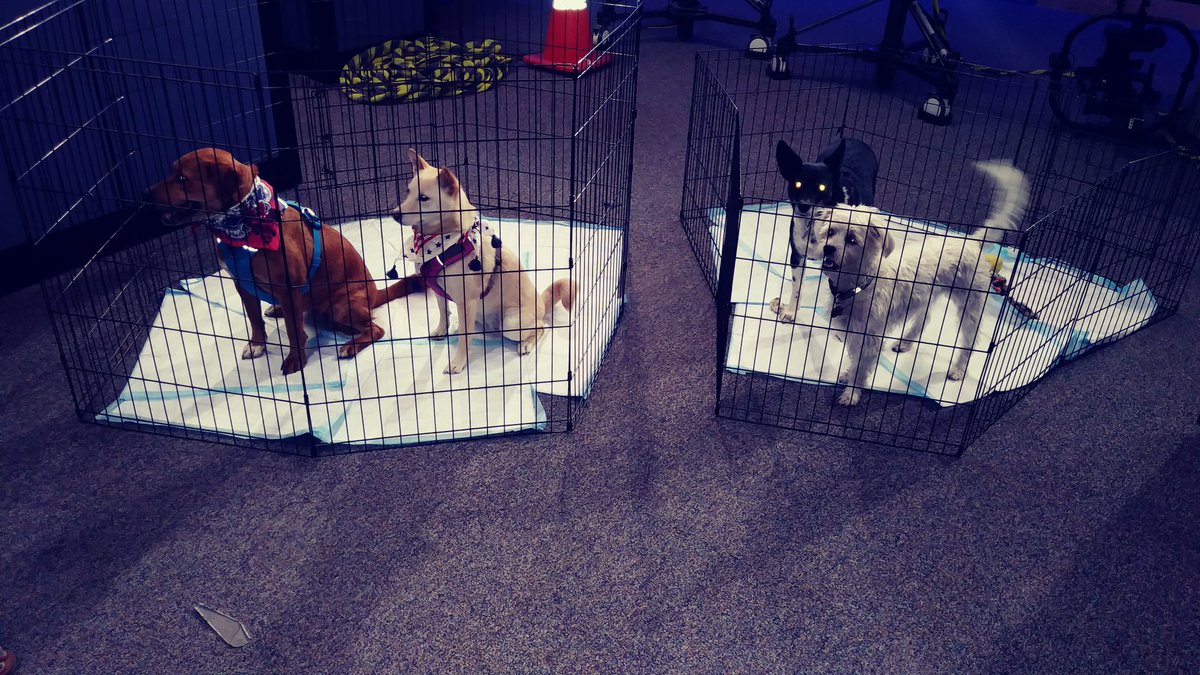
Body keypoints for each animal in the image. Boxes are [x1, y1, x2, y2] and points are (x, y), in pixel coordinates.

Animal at [147, 148, 421, 375]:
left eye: (183, 178)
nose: (146, 193)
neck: (243, 222)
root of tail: (374, 294)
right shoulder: (242, 284)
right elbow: (254, 318)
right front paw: (257, 345)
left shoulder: (289, 287)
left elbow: (293, 331)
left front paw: (295, 359)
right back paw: (280, 310)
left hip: (341, 304)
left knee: (375, 329)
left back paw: (350, 345)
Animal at [393, 149, 577, 374]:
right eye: (407, 191)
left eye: (424, 198)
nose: (394, 214)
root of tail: (541, 302)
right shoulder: (440, 293)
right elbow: (444, 313)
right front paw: (441, 330)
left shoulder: (467, 303)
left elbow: (464, 339)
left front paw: (458, 362)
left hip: (511, 322)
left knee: (541, 327)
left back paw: (526, 343)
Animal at [772, 137, 879, 322]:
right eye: (797, 184)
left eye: (822, 187)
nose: (803, 206)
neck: (813, 224)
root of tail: (853, 138)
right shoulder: (797, 255)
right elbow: (796, 288)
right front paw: (791, 312)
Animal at [796, 160, 1029, 406]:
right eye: (830, 231)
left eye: (852, 239)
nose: (828, 248)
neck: (859, 284)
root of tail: (971, 241)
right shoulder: (854, 332)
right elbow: (854, 358)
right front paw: (848, 375)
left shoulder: (870, 337)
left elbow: (861, 366)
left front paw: (852, 393)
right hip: (924, 296)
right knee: (925, 318)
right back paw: (906, 342)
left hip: (970, 304)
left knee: (969, 339)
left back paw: (958, 369)